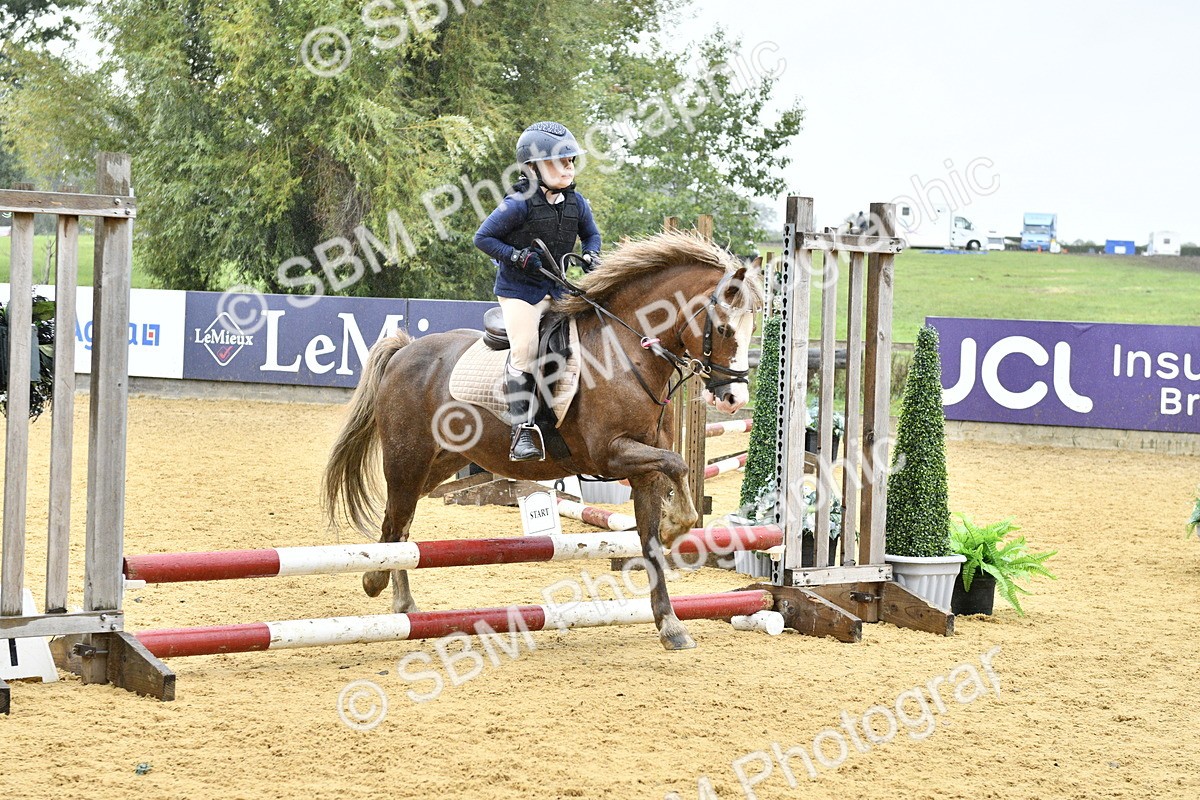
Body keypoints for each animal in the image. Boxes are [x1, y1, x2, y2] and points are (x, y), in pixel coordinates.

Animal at [323, 231, 763, 650]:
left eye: (753, 329)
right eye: (723, 328)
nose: (734, 398)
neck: (625, 353)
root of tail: (405, 350)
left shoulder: (643, 470)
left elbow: (654, 536)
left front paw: (670, 624)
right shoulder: (611, 455)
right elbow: (679, 464)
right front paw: (674, 528)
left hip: (440, 462)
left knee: (401, 523)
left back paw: (394, 596)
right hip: (407, 460)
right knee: (396, 523)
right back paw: (383, 589)